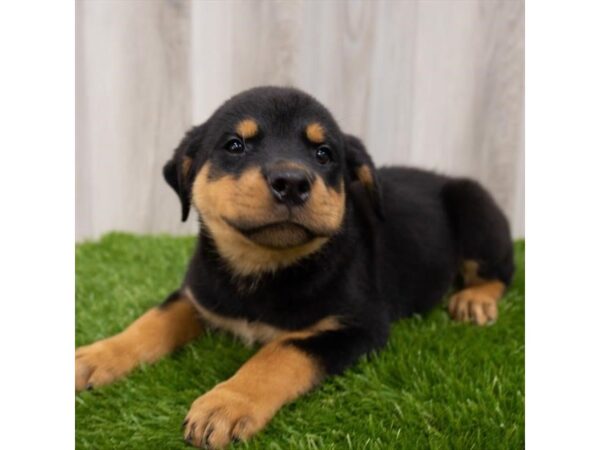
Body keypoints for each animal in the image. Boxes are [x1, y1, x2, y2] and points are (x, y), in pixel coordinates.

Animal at [76, 86, 516, 448]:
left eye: (324, 154)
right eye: (235, 145)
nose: (291, 181)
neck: (261, 267)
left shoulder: (358, 325)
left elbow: (281, 352)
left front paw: (225, 405)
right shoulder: (198, 294)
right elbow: (151, 321)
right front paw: (96, 356)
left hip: (476, 209)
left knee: (500, 273)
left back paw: (474, 301)